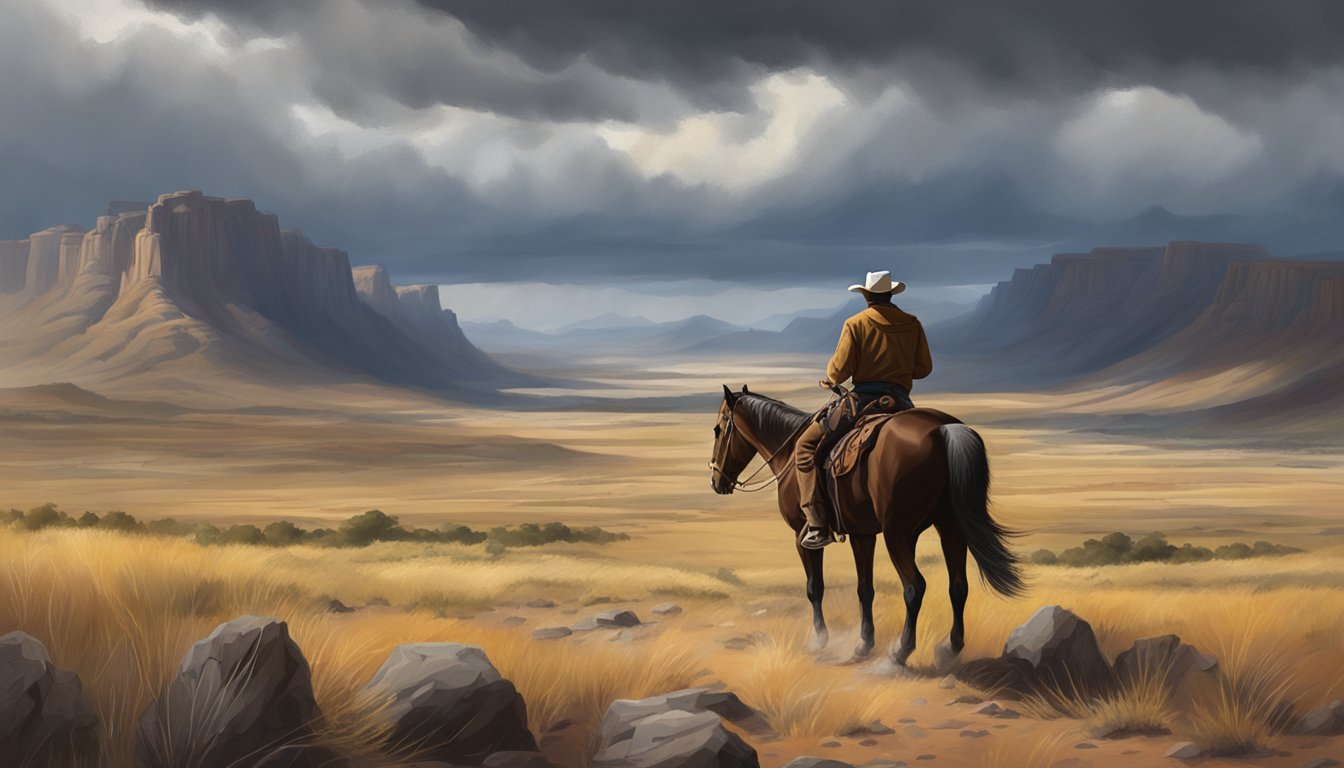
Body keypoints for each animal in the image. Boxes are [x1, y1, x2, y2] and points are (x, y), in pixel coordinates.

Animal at [709, 387, 1021, 669]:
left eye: (718, 429)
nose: (716, 481)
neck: (788, 450)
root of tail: (943, 428)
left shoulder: (801, 535)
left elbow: (814, 587)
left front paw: (819, 639)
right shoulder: (863, 534)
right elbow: (864, 589)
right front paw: (864, 643)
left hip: (898, 533)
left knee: (915, 587)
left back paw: (901, 651)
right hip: (950, 527)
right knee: (958, 586)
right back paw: (949, 648)